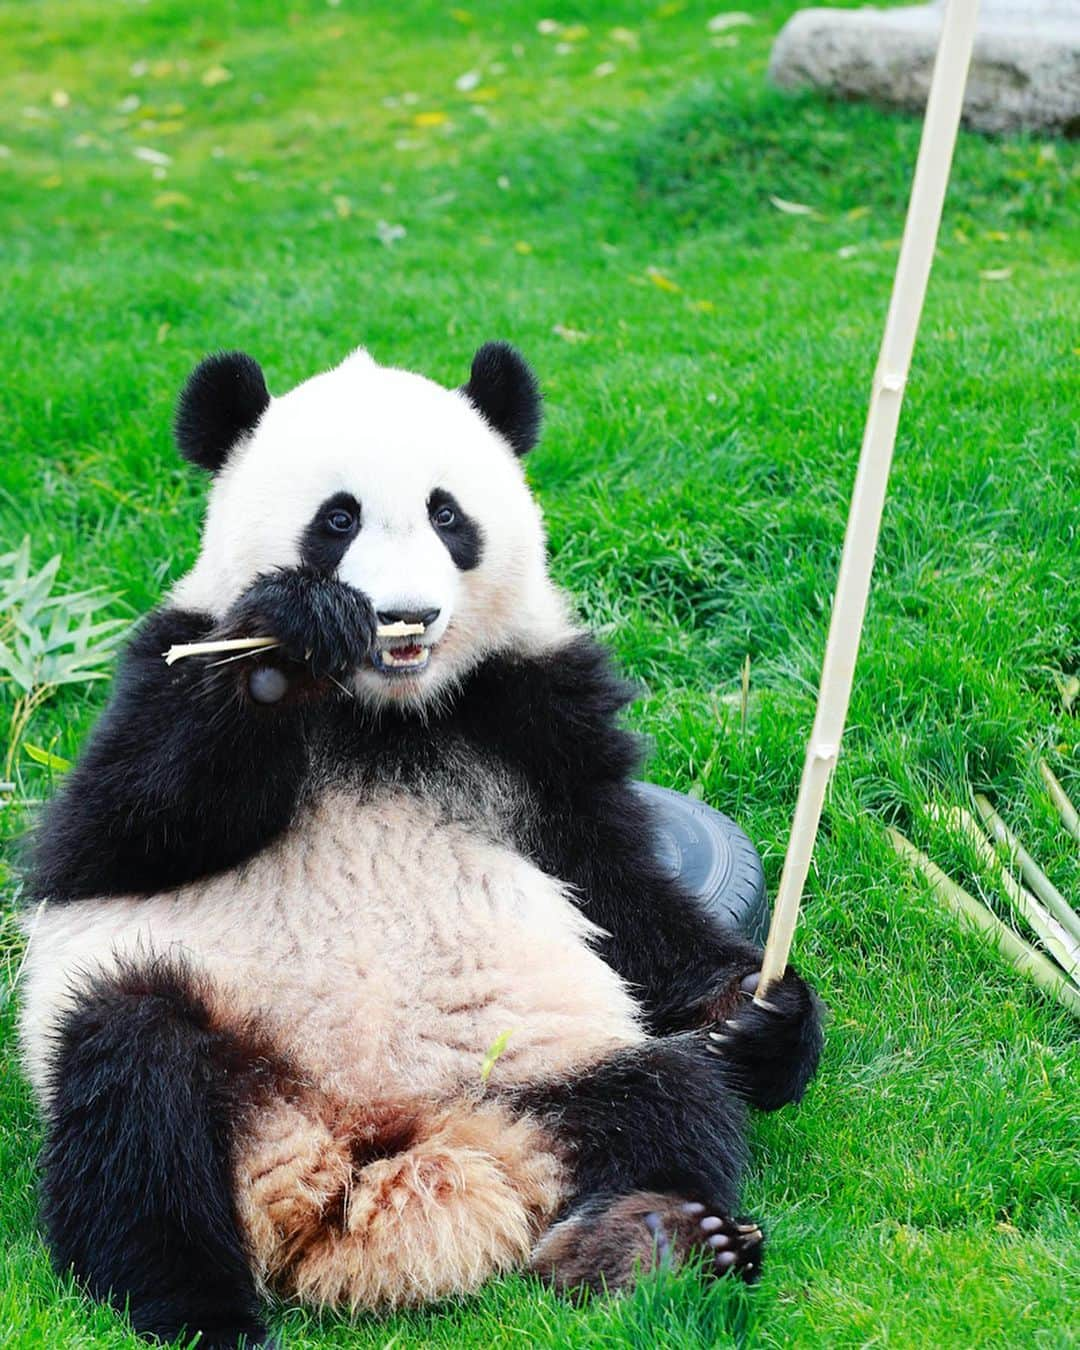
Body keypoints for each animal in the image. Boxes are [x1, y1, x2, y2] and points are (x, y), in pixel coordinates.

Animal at [18, 345, 820, 1350]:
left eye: (448, 515)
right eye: (338, 519)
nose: (405, 613)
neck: (384, 712)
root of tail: (367, 1167)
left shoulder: (532, 707)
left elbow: (617, 888)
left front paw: (758, 1016)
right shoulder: (164, 661)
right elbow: (111, 838)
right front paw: (291, 633)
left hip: (534, 1077)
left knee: (666, 1098)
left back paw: (649, 1239)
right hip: (217, 1063)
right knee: (132, 1083)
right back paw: (199, 1309)